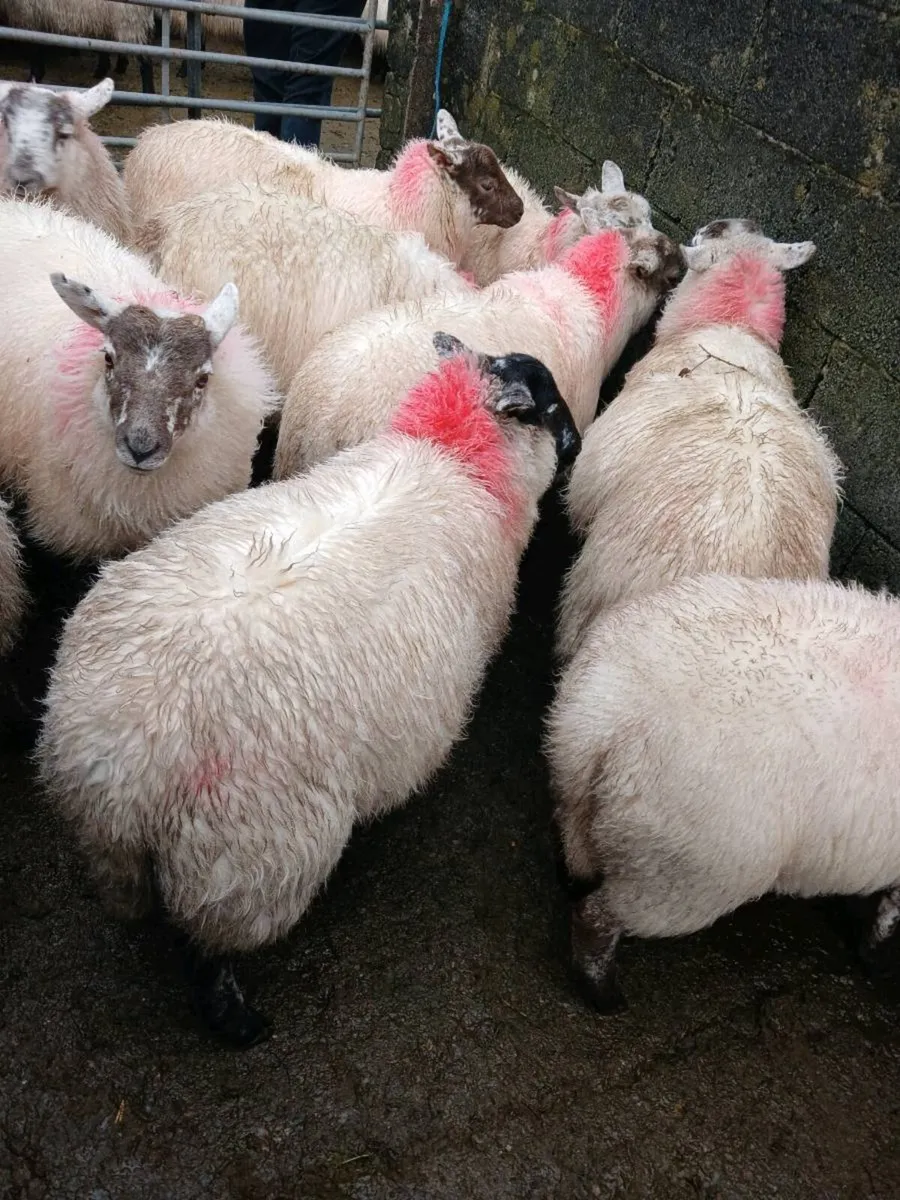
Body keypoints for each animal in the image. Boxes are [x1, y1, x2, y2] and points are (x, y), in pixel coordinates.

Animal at [38, 334, 581, 1045]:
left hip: (127, 850)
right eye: (549, 404)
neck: (447, 454)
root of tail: (117, 757)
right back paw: (241, 1024)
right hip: (243, 864)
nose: (579, 446)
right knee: (208, 952)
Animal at [547, 573, 900, 1012]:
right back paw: (602, 994)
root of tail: (603, 720)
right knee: (597, 915)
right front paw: (876, 957)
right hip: (684, 870)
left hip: (591, 816)